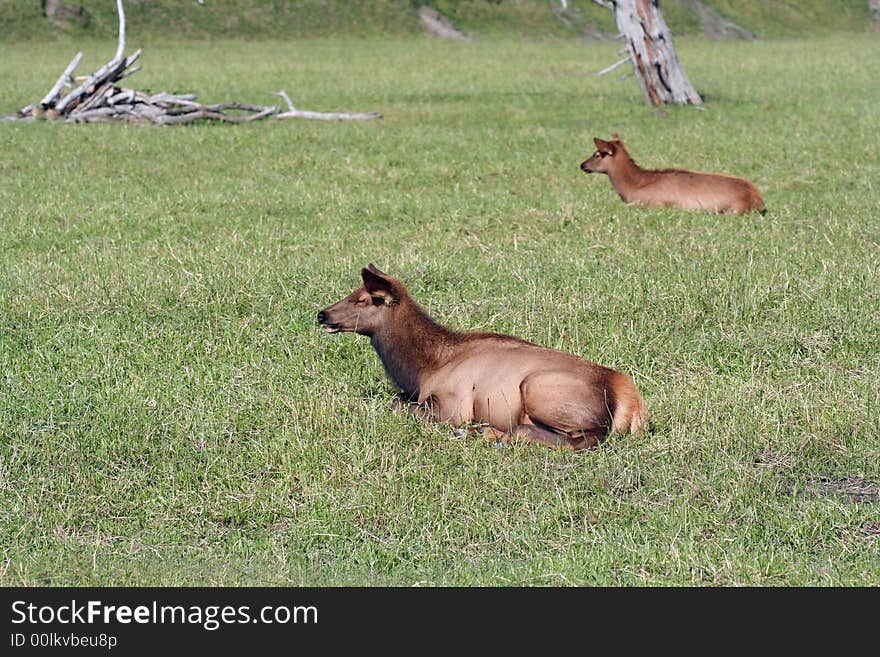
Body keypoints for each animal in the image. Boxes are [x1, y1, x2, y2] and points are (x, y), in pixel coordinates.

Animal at [316, 264, 648, 448]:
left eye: (363, 299)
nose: (322, 314)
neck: (422, 369)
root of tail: (630, 401)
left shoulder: (453, 406)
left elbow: (398, 404)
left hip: (536, 386)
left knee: (584, 439)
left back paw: (491, 434)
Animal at [576, 133, 764, 215]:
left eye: (598, 154)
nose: (582, 165)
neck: (631, 187)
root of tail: (757, 200)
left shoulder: (652, 203)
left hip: (732, 209)